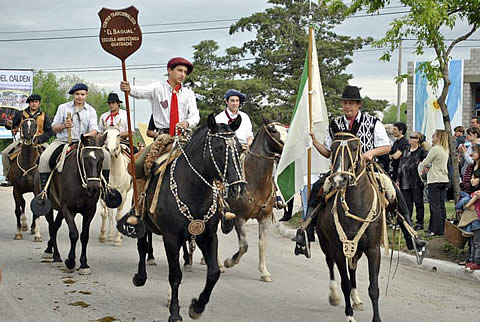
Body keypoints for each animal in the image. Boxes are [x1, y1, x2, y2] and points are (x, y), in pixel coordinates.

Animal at [42, 134, 105, 274]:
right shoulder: (67, 209)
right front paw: (70, 261)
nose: (94, 188)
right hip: (49, 206)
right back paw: (56, 257)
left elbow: (84, 236)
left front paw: (84, 264)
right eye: (85, 158)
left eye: (102, 158)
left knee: (55, 226)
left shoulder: (90, 210)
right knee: (51, 227)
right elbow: (74, 234)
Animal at [131, 114, 246, 320]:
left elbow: (214, 273)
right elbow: (175, 275)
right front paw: (175, 312)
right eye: (218, 148)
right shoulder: (171, 237)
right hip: (142, 218)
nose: (238, 189)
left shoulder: (207, 236)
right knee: (142, 245)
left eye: (240, 148)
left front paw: (197, 307)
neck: (193, 190)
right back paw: (140, 277)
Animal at [222, 119, 286, 282]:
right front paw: (229, 261)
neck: (256, 181)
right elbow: (244, 246)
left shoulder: (265, 218)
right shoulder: (239, 217)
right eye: (273, 130)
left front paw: (264, 272)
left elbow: (262, 244)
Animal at [316, 131, 384, 322]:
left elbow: (373, 288)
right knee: (330, 263)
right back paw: (334, 295)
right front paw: (349, 315)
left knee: (352, 268)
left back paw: (356, 299)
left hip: (356, 249)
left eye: (354, 148)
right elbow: (344, 283)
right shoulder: (339, 248)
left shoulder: (373, 249)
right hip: (325, 243)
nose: (339, 179)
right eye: (332, 148)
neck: (357, 206)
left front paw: (376, 318)